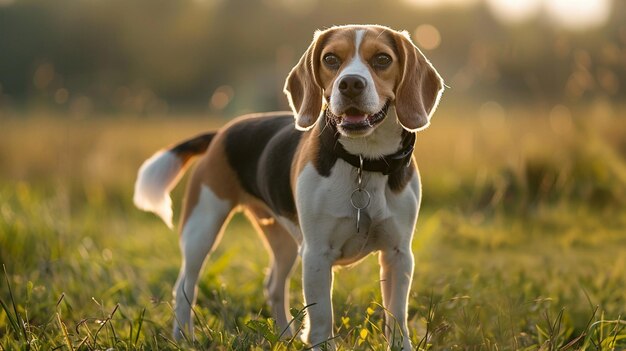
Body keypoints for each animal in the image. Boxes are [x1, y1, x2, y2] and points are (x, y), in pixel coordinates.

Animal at [133, 24, 442, 350]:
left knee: (273, 286)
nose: (350, 84)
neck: (363, 161)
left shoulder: (398, 254)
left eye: (382, 59)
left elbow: (396, 317)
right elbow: (322, 319)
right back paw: (183, 336)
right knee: (184, 286)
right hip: (201, 229)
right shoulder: (317, 254)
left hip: (285, 242)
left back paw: (283, 336)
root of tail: (221, 133)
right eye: (330, 59)